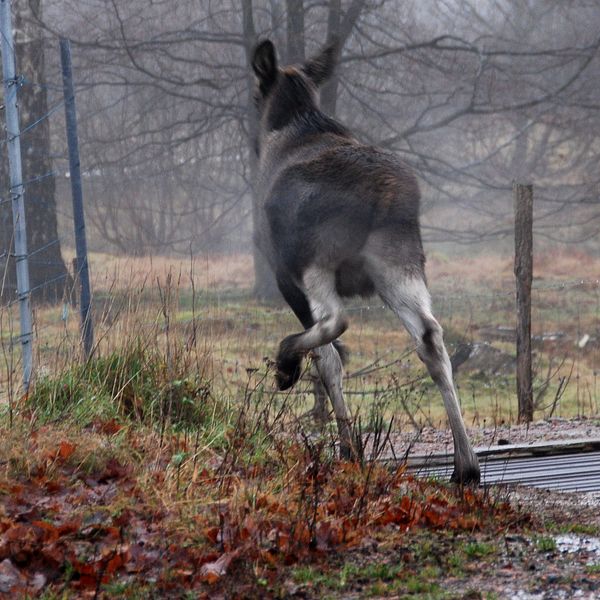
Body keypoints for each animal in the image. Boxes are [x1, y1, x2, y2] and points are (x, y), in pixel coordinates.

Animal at [251, 39, 480, 482]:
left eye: (256, 95)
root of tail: (388, 193)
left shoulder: (283, 272)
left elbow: (328, 357)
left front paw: (347, 445)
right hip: (400, 261)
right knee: (431, 337)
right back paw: (466, 465)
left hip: (316, 259)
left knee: (335, 327)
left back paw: (291, 370)